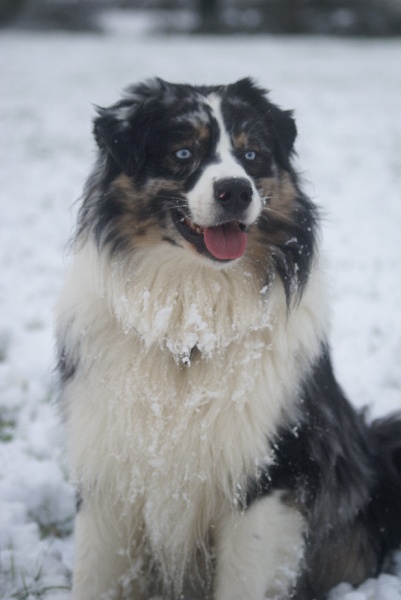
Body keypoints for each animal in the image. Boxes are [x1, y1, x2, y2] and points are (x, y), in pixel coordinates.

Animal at [56, 77, 401, 600]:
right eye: (183, 152)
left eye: (253, 155)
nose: (235, 190)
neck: (191, 325)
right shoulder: (110, 466)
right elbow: (96, 577)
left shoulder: (267, 472)